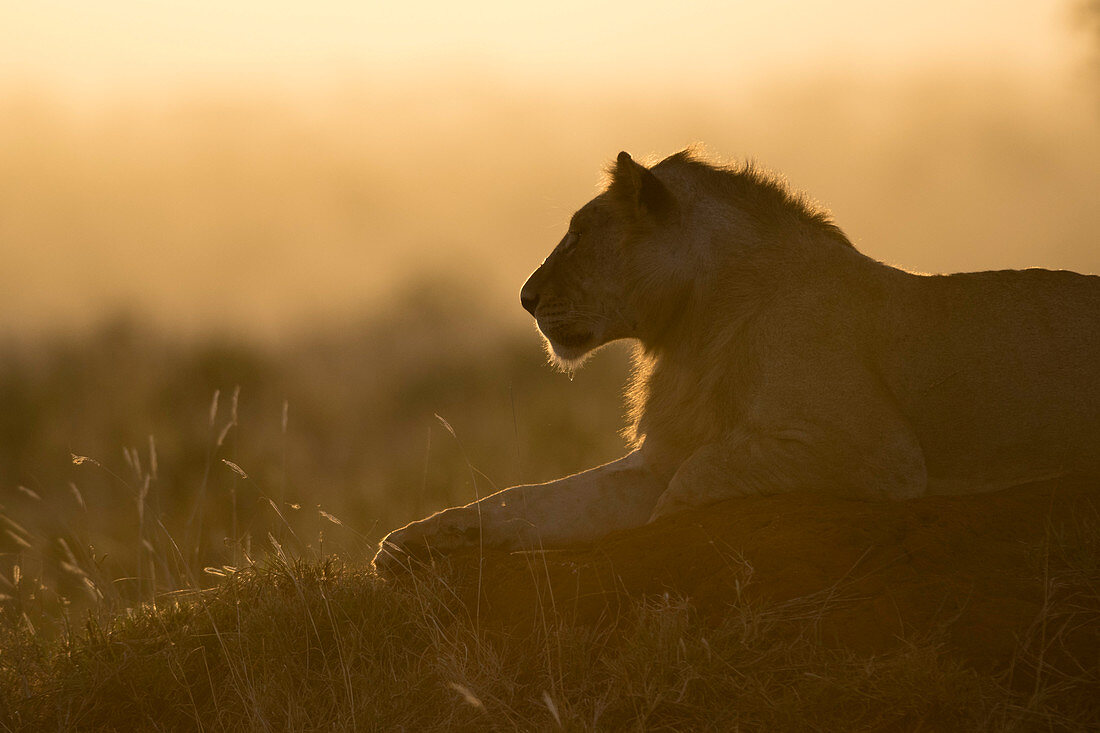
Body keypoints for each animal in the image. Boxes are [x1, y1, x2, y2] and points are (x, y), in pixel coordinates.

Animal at [371, 148, 1100, 572]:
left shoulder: (880, 454)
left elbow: (697, 476)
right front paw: (413, 542)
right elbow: (527, 499)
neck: (694, 329)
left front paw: (664, 529)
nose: (525, 297)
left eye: (578, 235)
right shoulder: (656, 455)